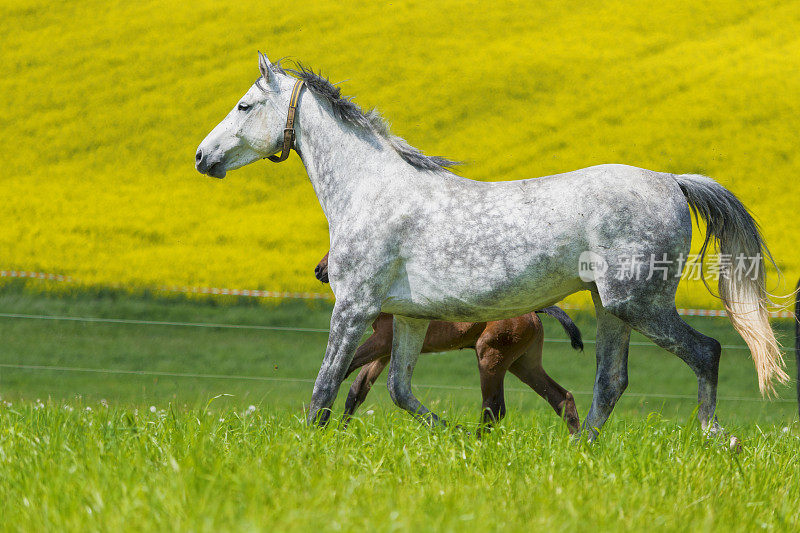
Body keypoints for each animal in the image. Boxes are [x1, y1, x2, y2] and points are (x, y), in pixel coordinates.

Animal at [312, 251, 580, 430]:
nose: (319, 270)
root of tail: (535, 312)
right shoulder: (386, 350)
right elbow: (358, 389)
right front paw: (339, 432)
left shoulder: (383, 340)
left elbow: (346, 368)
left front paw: (324, 422)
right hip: (523, 363)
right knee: (561, 398)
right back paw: (578, 444)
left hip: (491, 358)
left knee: (494, 408)